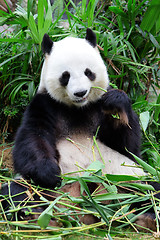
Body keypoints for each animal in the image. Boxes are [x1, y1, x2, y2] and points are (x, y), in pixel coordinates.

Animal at [0, 28, 158, 231]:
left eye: (88, 72)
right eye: (65, 75)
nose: (80, 92)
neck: (78, 108)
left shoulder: (99, 106)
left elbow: (128, 147)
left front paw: (116, 103)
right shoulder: (45, 104)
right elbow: (33, 138)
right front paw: (49, 172)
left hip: (126, 179)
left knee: (150, 190)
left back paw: (147, 217)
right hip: (46, 190)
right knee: (17, 192)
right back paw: (36, 215)